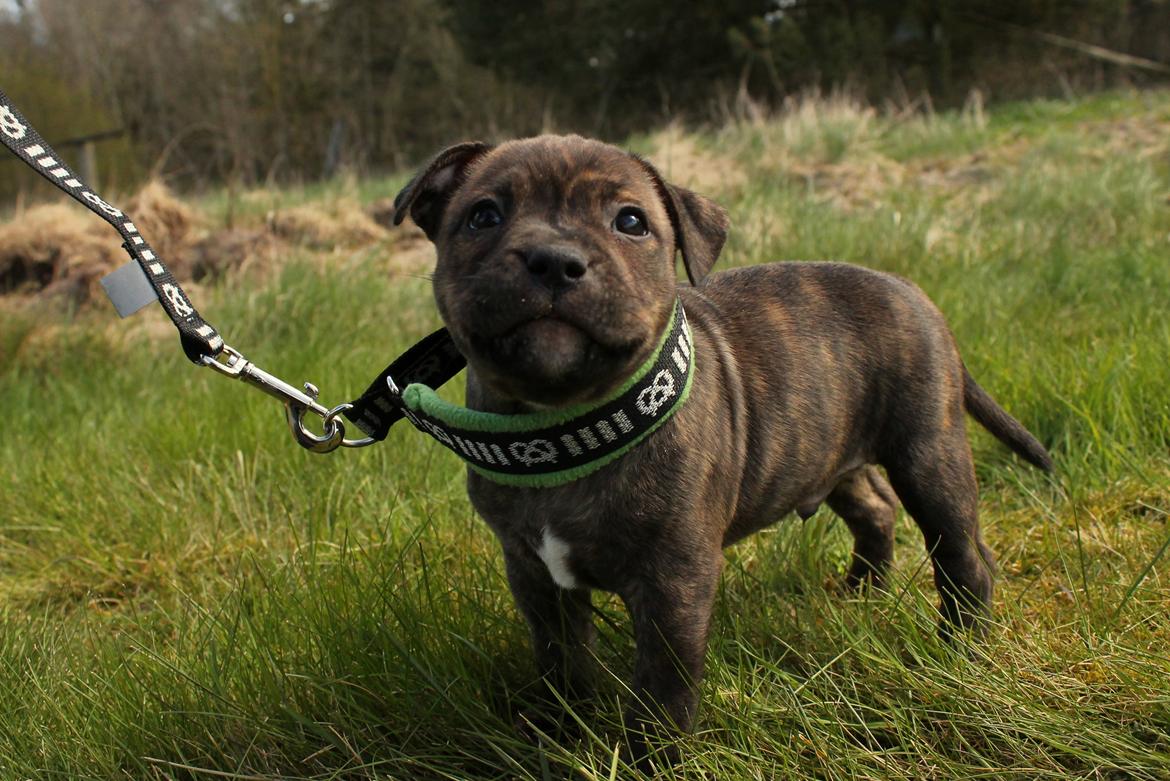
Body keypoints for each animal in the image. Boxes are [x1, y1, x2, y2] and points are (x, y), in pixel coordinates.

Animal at [390, 134, 1053, 762]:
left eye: (631, 222)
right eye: (482, 216)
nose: (554, 259)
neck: (568, 425)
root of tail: (915, 294)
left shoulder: (674, 581)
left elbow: (663, 685)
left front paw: (652, 758)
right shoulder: (535, 576)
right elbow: (562, 665)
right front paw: (560, 736)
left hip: (929, 455)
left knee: (961, 556)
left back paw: (960, 653)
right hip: (827, 451)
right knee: (874, 506)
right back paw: (862, 592)